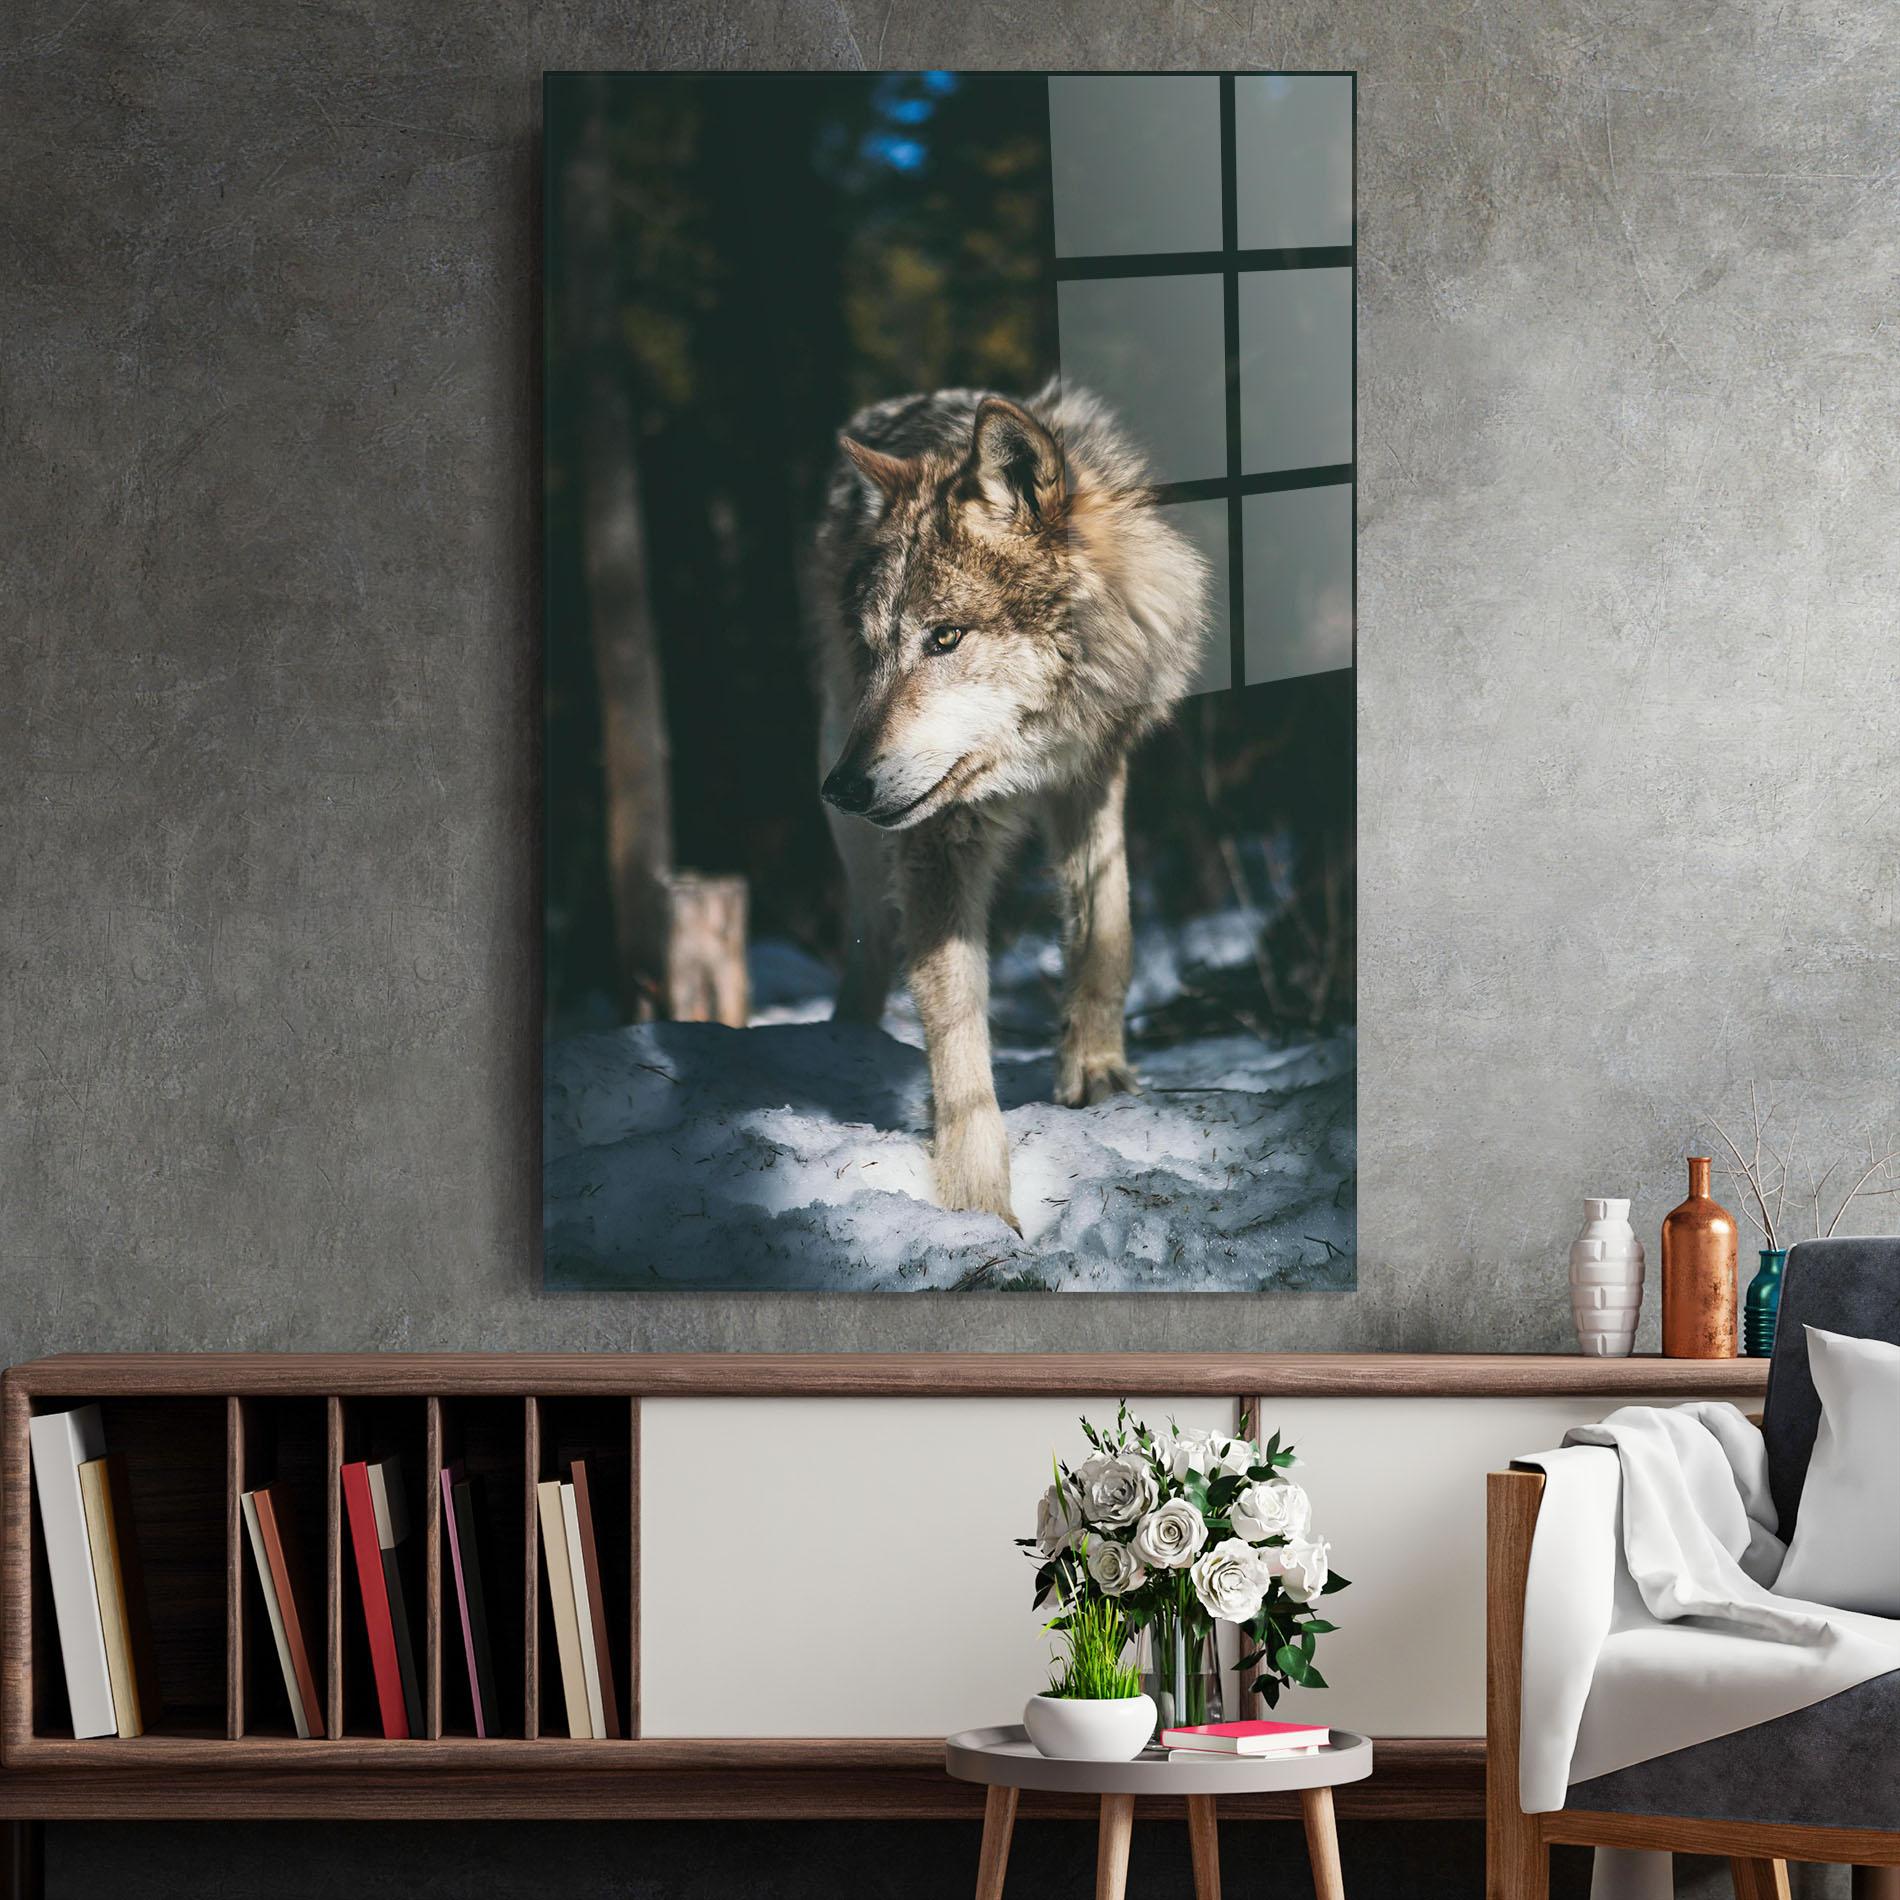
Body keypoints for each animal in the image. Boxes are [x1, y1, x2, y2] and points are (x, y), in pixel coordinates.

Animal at [804, 380, 1209, 1232]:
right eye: (874, 649)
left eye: (944, 637)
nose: (844, 787)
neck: (1030, 753)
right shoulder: (936, 836)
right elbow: (956, 1030)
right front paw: (976, 1205)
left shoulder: (1095, 770)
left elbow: (1108, 931)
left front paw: (1096, 1073)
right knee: (869, 936)